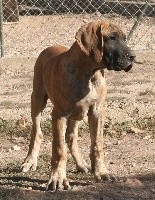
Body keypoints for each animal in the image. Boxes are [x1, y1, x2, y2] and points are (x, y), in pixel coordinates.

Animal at [21, 20, 135, 191]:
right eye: (112, 38)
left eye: (124, 39)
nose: (133, 57)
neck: (88, 73)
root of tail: (49, 47)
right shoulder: (59, 114)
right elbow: (59, 148)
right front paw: (58, 178)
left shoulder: (96, 111)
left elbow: (97, 144)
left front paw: (101, 172)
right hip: (37, 100)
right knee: (37, 132)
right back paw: (30, 161)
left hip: (77, 113)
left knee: (71, 137)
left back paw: (81, 164)